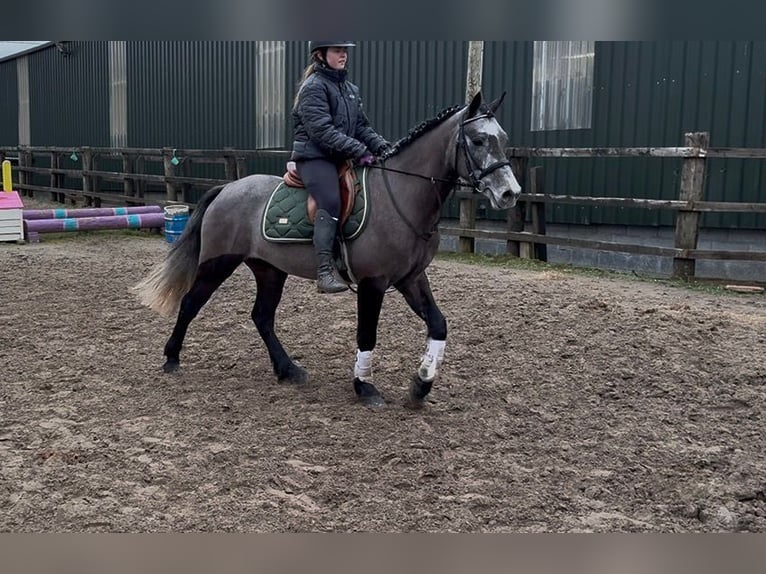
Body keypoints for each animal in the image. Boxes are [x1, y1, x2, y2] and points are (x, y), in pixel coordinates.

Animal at [133, 91, 521, 408]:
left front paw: (421, 384)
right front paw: (365, 388)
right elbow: (367, 334)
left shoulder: (411, 277)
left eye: (503, 139)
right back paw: (172, 359)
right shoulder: (373, 283)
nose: (510, 193)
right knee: (190, 303)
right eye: (478, 140)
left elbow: (438, 324)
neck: (402, 195)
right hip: (218, 264)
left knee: (262, 316)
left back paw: (288, 369)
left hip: (269, 269)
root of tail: (227, 189)